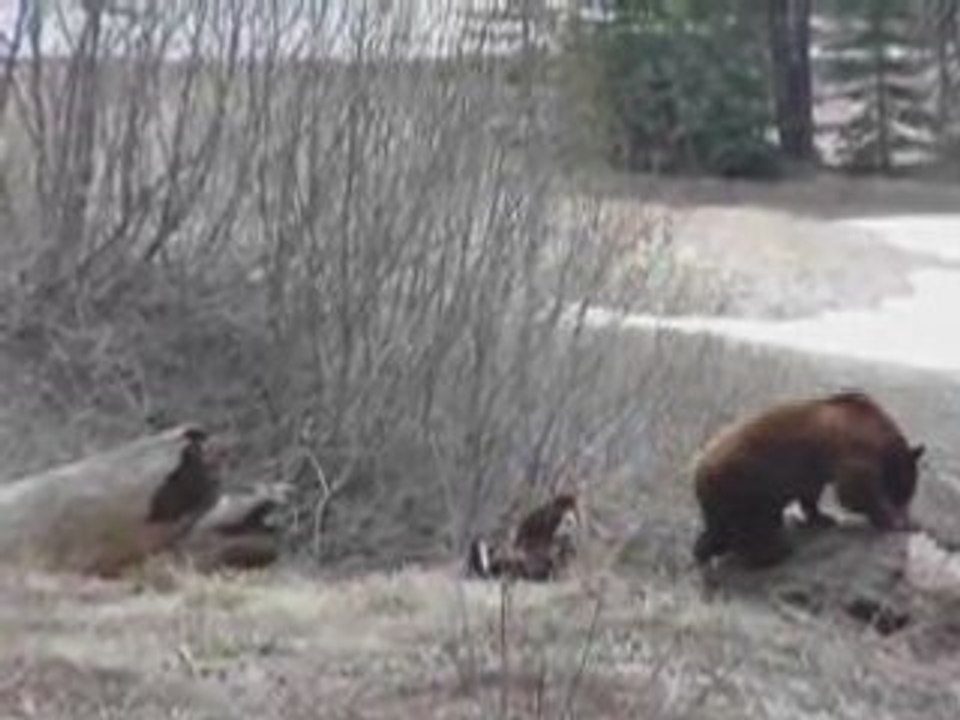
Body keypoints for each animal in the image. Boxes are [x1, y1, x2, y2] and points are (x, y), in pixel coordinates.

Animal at [692, 391, 925, 568]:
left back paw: (704, 551)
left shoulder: (813, 468)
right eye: (906, 491)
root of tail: (699, 468)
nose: (905, 509)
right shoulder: (853, 448)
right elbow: (857, 489)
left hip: (728, 498)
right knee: (750, 525)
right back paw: (772, 552)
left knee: (720, 530)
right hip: (744, 484)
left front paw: (822, 517)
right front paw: (900, 522)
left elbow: (811, 493)